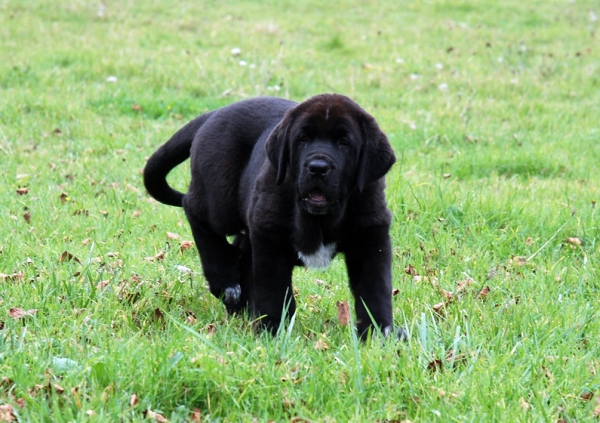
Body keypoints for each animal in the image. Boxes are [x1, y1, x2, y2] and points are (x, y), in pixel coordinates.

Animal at [143, 94, 398, 340]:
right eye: (303, 139)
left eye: (344, 143)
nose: (317, 167)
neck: (319, 219)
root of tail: (215, 112)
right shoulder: (270, 237)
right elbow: (274, 292)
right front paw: (273, 332)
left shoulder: (370, 238)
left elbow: (375, 291)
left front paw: (379, 334)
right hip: (220, 200)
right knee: (195, 212)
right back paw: (225, 282)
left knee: (241, 250)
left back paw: (241, 308)